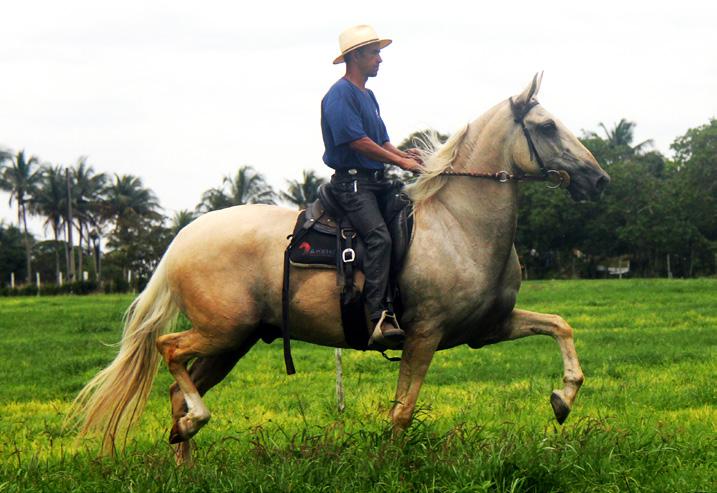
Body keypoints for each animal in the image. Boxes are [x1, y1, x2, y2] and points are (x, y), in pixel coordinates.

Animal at [70, 73, 608, 462]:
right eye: (546, 126)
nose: (598, 180)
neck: (459, 224)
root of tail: (181, 239)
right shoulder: (425, 334)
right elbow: (402, 413)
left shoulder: (488, 327)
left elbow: (559, 325)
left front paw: (563, 398)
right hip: (223, 332)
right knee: (169, 351)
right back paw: (193, 425)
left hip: (231, 344)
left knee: (176, 393)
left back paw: (187, 458)